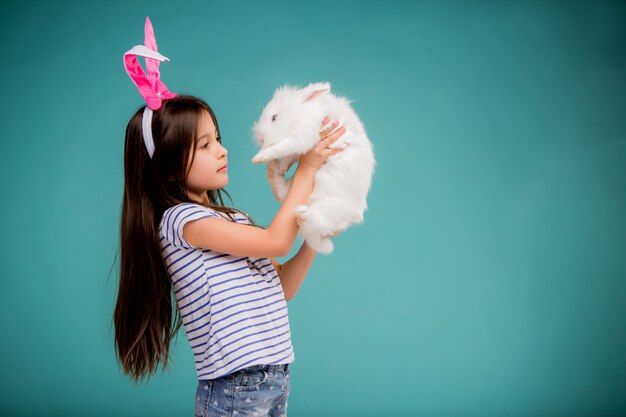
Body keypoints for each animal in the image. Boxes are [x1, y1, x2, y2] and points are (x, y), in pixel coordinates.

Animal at [250, 79, 376, 252]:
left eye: (274, 117)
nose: (261, 138)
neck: (301, 113)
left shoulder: (303, 135)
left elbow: (284, 146)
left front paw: (260, 157)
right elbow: (290, 155)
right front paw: (282, 167)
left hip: (332, 207)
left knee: (317, 221)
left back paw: (303, 213)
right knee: (283, 195)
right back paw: (274, 172)